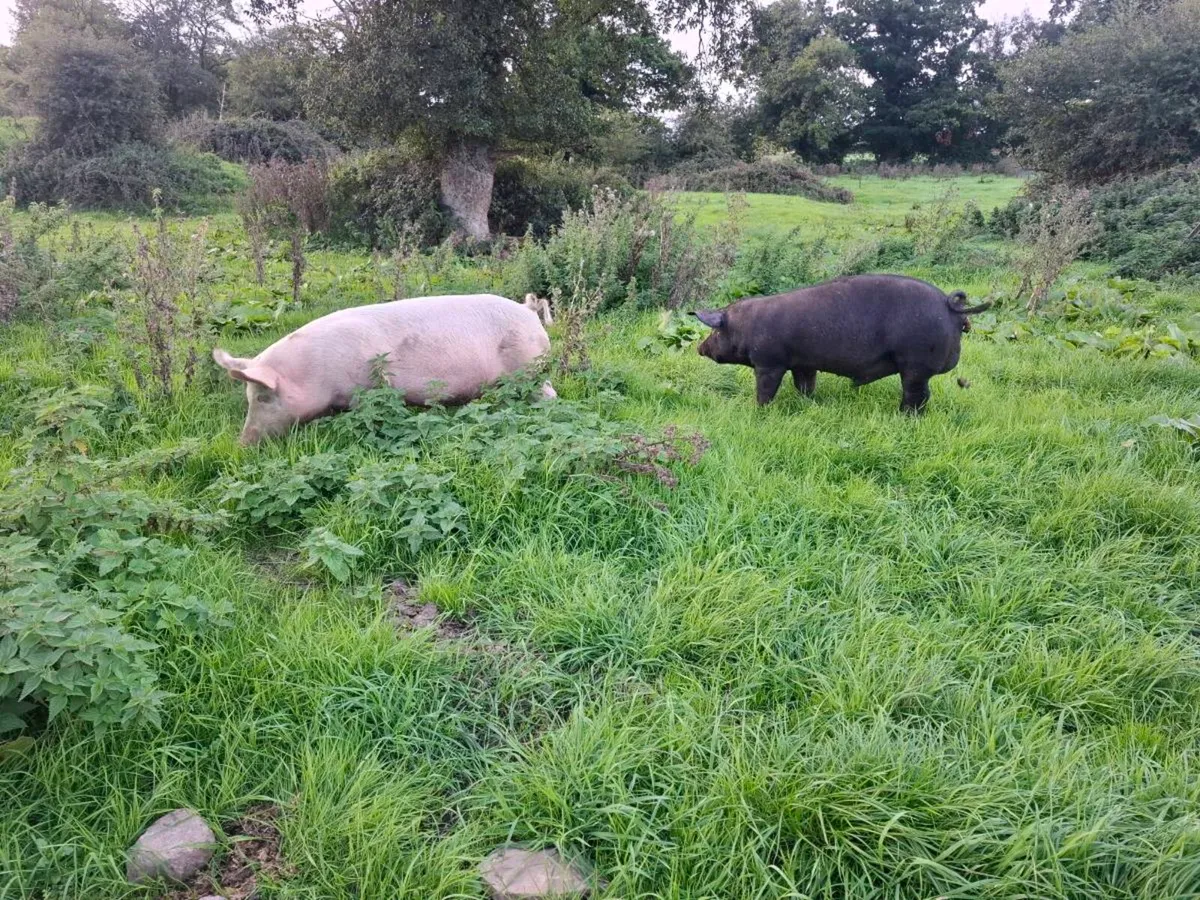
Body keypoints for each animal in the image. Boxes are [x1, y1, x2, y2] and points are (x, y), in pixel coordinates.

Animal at [213, 293, 555, 445]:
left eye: (262, 397)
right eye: (249, 397)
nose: (243, 443)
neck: (314, 372)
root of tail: (528, 311)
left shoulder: (368, 388)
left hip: (527, 367)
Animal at [691, 274, 991, 413]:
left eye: (716, 332)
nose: (699, 348)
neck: (746, 325)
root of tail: (950, 305)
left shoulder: (768, 362)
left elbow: (766, 390)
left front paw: (759, 410)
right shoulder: (803, 364)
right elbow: (805, 385)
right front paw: (808, 402)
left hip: (915, 364)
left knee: (917, 395)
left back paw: (904, 416)